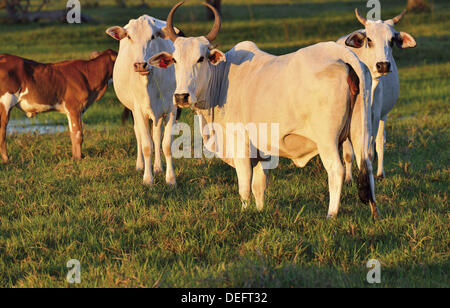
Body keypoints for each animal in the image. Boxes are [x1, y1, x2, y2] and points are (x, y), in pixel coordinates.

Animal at [106, 16, 182, 185]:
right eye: (129, 37)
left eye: (153, 37)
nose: (140, 65)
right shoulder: (139, 110)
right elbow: (147, 145)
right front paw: (147, 179)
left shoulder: (171, 110)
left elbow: (166, 144)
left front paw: (170, 179)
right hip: (134, 111)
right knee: (139, 134)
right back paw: (140, 165)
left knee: (156, 135)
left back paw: (158, 167)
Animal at [149, 2, 380, 219]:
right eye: (175, 60)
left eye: (201, 58)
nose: (181, 97)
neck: (222, 79)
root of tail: (340, 55)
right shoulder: (263, 151)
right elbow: (258, 186)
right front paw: (259, 211)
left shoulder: (241, 147)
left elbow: (244, 187)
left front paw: (244, 212)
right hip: (360, 131)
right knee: (366, 165)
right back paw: (374, 212)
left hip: (327, 140)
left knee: (336, 171)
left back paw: (331, 214)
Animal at [336, 9, 416, 182]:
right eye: (369, 40)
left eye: (392, 40)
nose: (383, 65)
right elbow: (348, 153)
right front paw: (348, 178)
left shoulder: (375, 115)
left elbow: (370, 150)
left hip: (383, 116)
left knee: (380, 142)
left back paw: (380, 173)